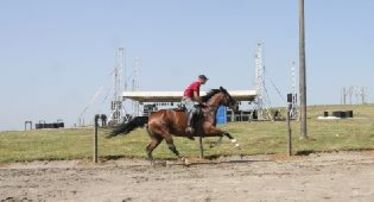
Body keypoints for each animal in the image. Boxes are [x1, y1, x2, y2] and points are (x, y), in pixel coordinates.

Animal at [109, 86, 240, 163]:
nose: (237, 107)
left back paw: (154, 162)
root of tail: (150, 117)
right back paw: (183, 159)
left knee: (148, 149)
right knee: (171, 146)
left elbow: (222, 134)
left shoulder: (206, 132)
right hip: (165, 133)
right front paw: (236, 144)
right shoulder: (208, 130)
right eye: (229, 96)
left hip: (157, 137)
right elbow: (224, 132)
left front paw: (214, 145)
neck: (207, 110)